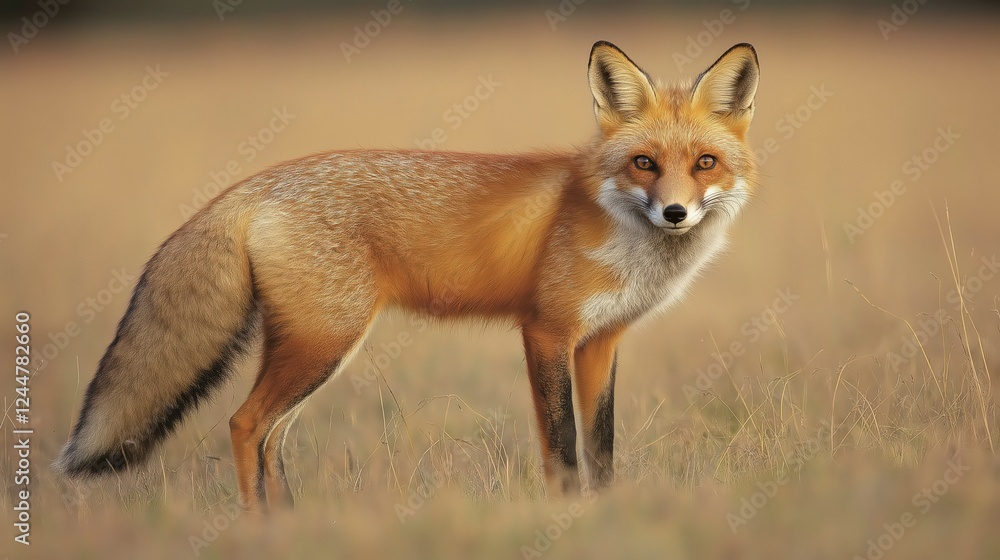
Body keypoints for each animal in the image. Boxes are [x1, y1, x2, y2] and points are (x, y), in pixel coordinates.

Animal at [55, 40, 760, 512]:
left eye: (704, 162)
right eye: (644, 163)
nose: (675, 213)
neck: (615, 230)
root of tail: (256, 183)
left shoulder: (600, 343)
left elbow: (602, 449)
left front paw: (603, 517)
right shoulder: (546, 332)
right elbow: (562, 447)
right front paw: (567, 517)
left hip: (311, 348)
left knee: (271, 437)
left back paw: (291, 527)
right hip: (324, 342)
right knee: (245, 425)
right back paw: (260, 532)